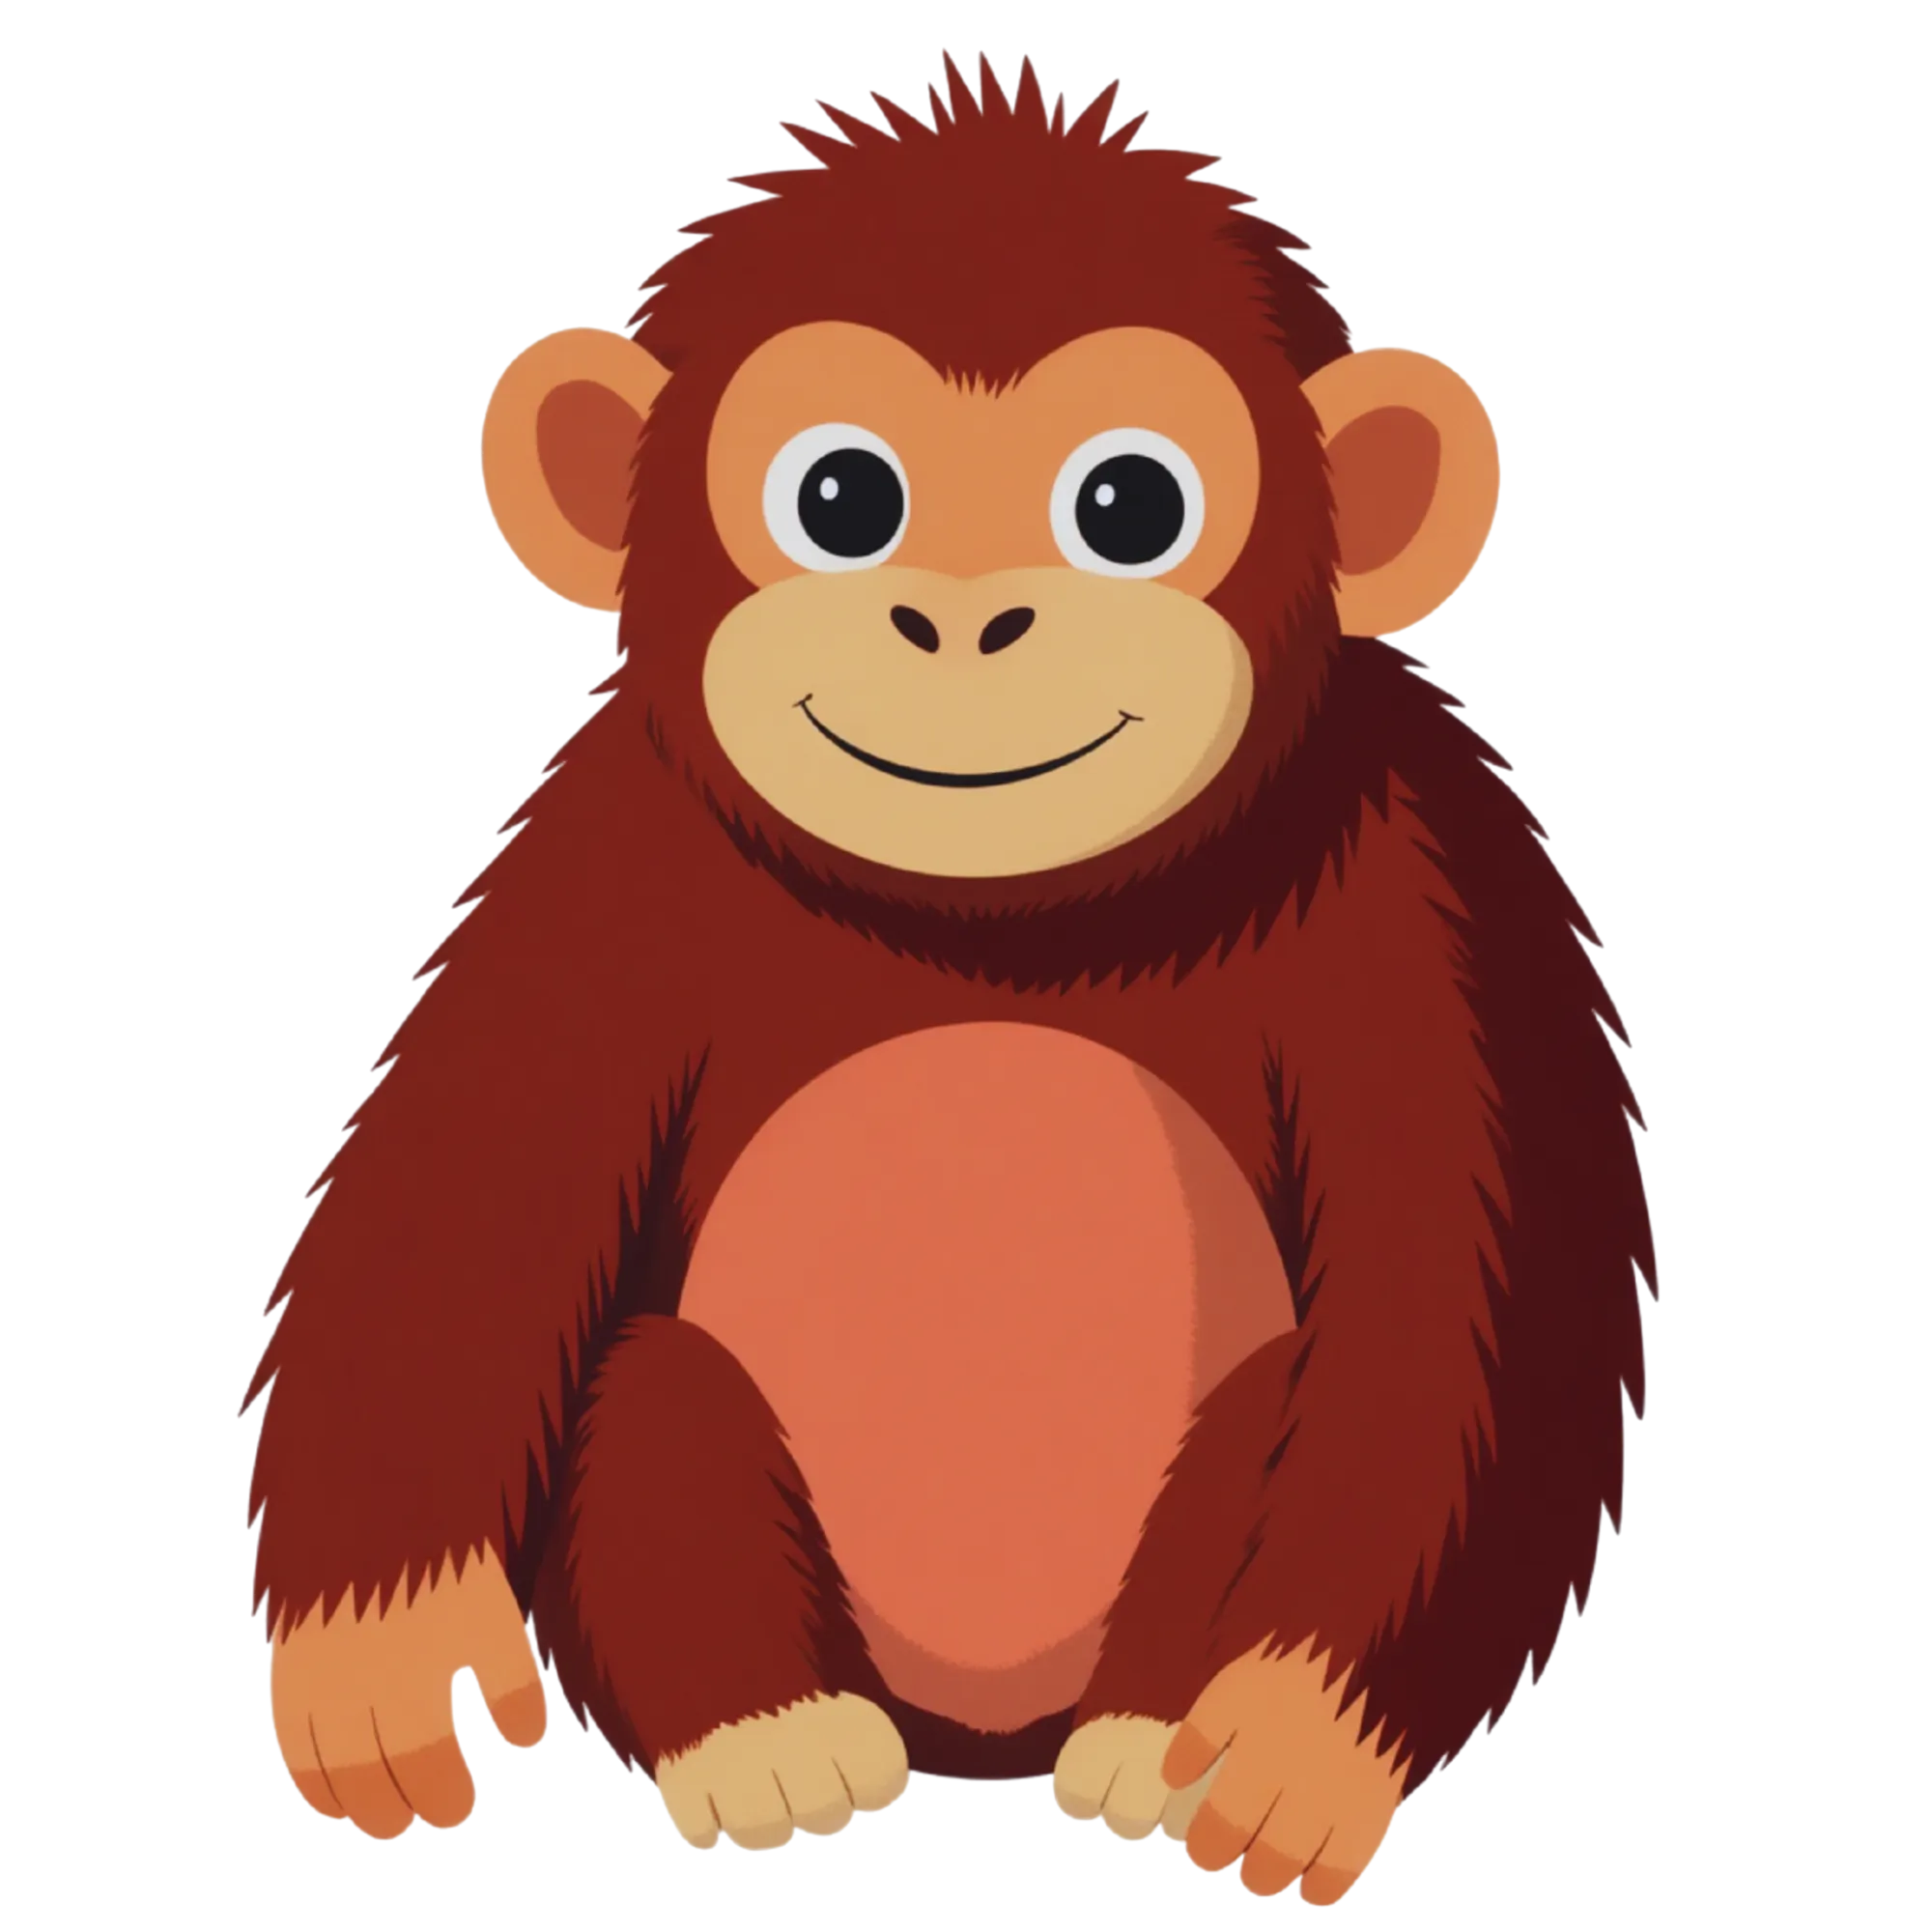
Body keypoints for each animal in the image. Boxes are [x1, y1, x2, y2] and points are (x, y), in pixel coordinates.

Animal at [240, 49, 1655, 1908]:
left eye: (1129, 505)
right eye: (841, 498)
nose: (964, 624)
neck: (1003, 919)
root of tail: (983, 1745)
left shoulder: (1426, 865)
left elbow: (1460, 1300)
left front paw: (1299, 1742)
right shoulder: (604, 851)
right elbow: (470, 1207)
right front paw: (378, 1650)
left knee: (1280, 1403)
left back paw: (1142, 1744)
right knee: (654, 1384)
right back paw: (766, 1743)